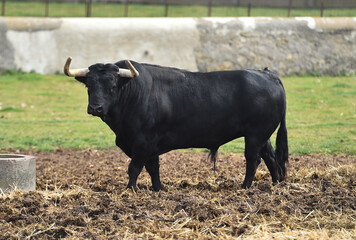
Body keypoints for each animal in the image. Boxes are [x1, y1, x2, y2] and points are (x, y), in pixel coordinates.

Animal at [64, 59, 288, 190]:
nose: (95, 108)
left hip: (255, 136)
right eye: (89, 86)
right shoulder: (150, 145)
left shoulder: (142, 142)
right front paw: (158, 189)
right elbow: (153, 168)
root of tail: (267, 74)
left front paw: (130, 189)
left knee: (253, 160)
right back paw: (276, 184)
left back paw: (245, 186)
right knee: (270, 157)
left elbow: (134, 167)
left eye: (112, 86)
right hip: (263, 136)